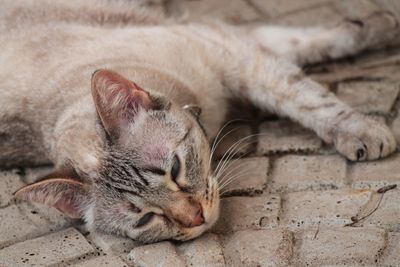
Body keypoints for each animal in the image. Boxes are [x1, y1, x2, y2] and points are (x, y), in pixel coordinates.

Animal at [1, 0, 398, 244]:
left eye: (175, 170)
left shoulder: (226, 48)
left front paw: (382, 25)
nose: (196, 218)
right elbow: (301, 58)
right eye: (144, 219)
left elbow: (306, 79)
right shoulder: (227, 46)